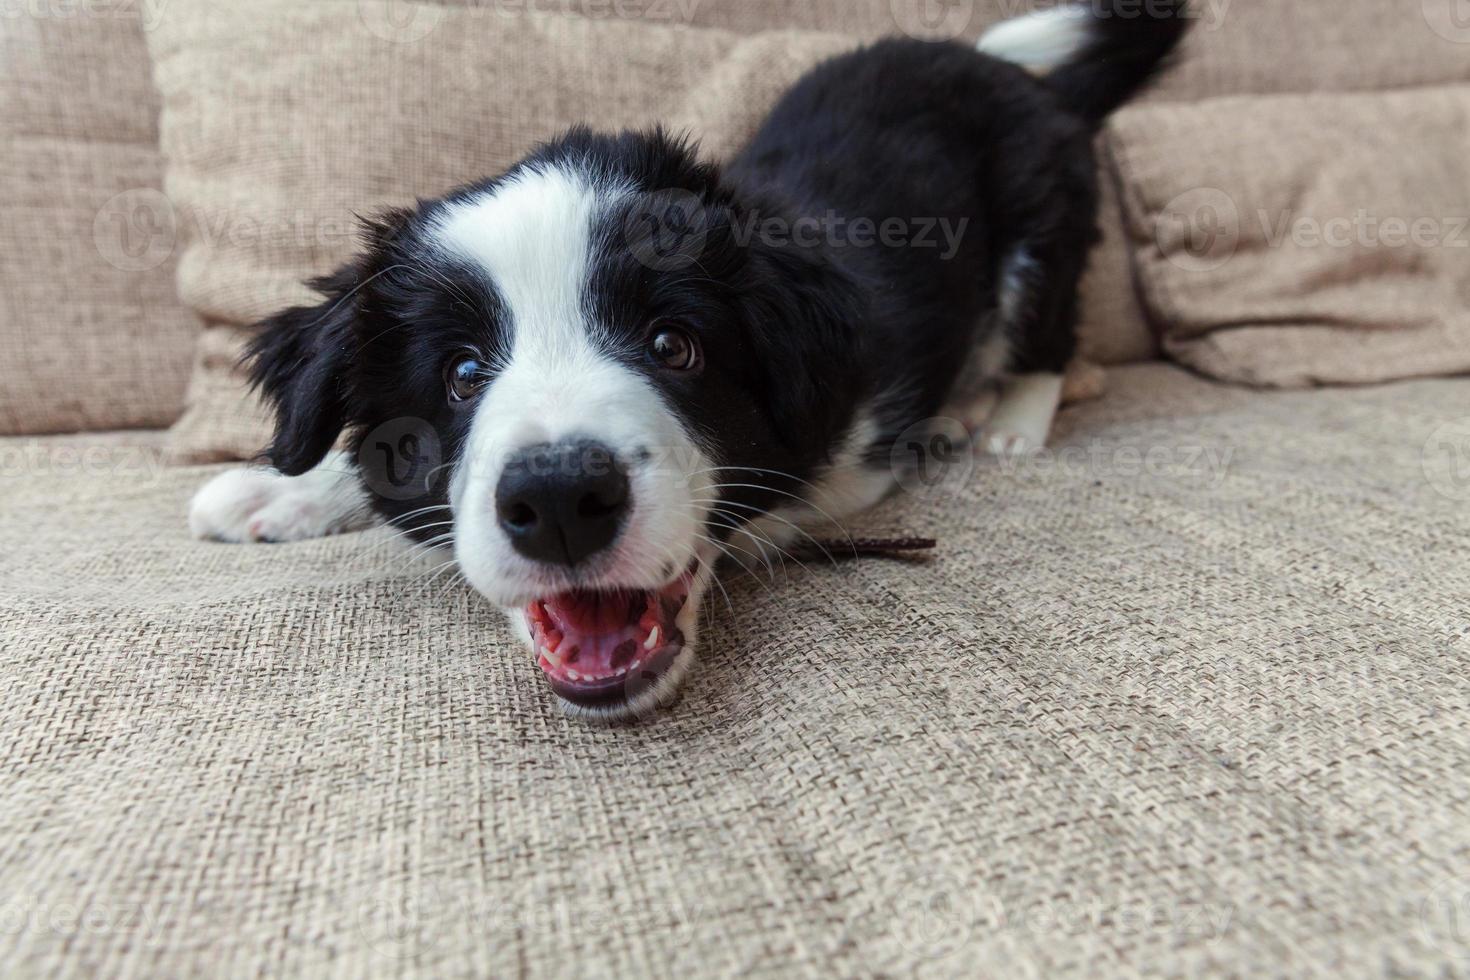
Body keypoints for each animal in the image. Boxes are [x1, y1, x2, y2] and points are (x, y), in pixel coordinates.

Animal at [189, 1, 1187, 719]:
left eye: (675, 345)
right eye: (463, 374)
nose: (559, 499)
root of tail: (1007, 71)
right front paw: (276, 489)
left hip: (1040, 222)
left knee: (1047, 326)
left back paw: (1011, 416)